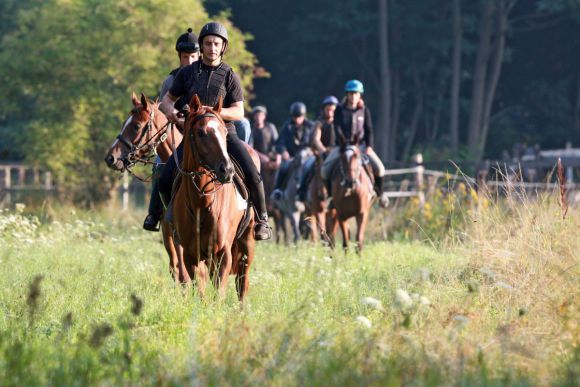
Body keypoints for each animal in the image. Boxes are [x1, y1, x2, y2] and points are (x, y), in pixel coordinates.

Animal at [171, 94, 255, 304]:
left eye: (224, 132)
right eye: (201, 133)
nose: (227, 170)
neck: (201, 202)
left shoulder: (223, 253)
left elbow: (220, 291)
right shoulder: (191, 255)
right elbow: (199, 288)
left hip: (247, 242)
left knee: (242, 282)